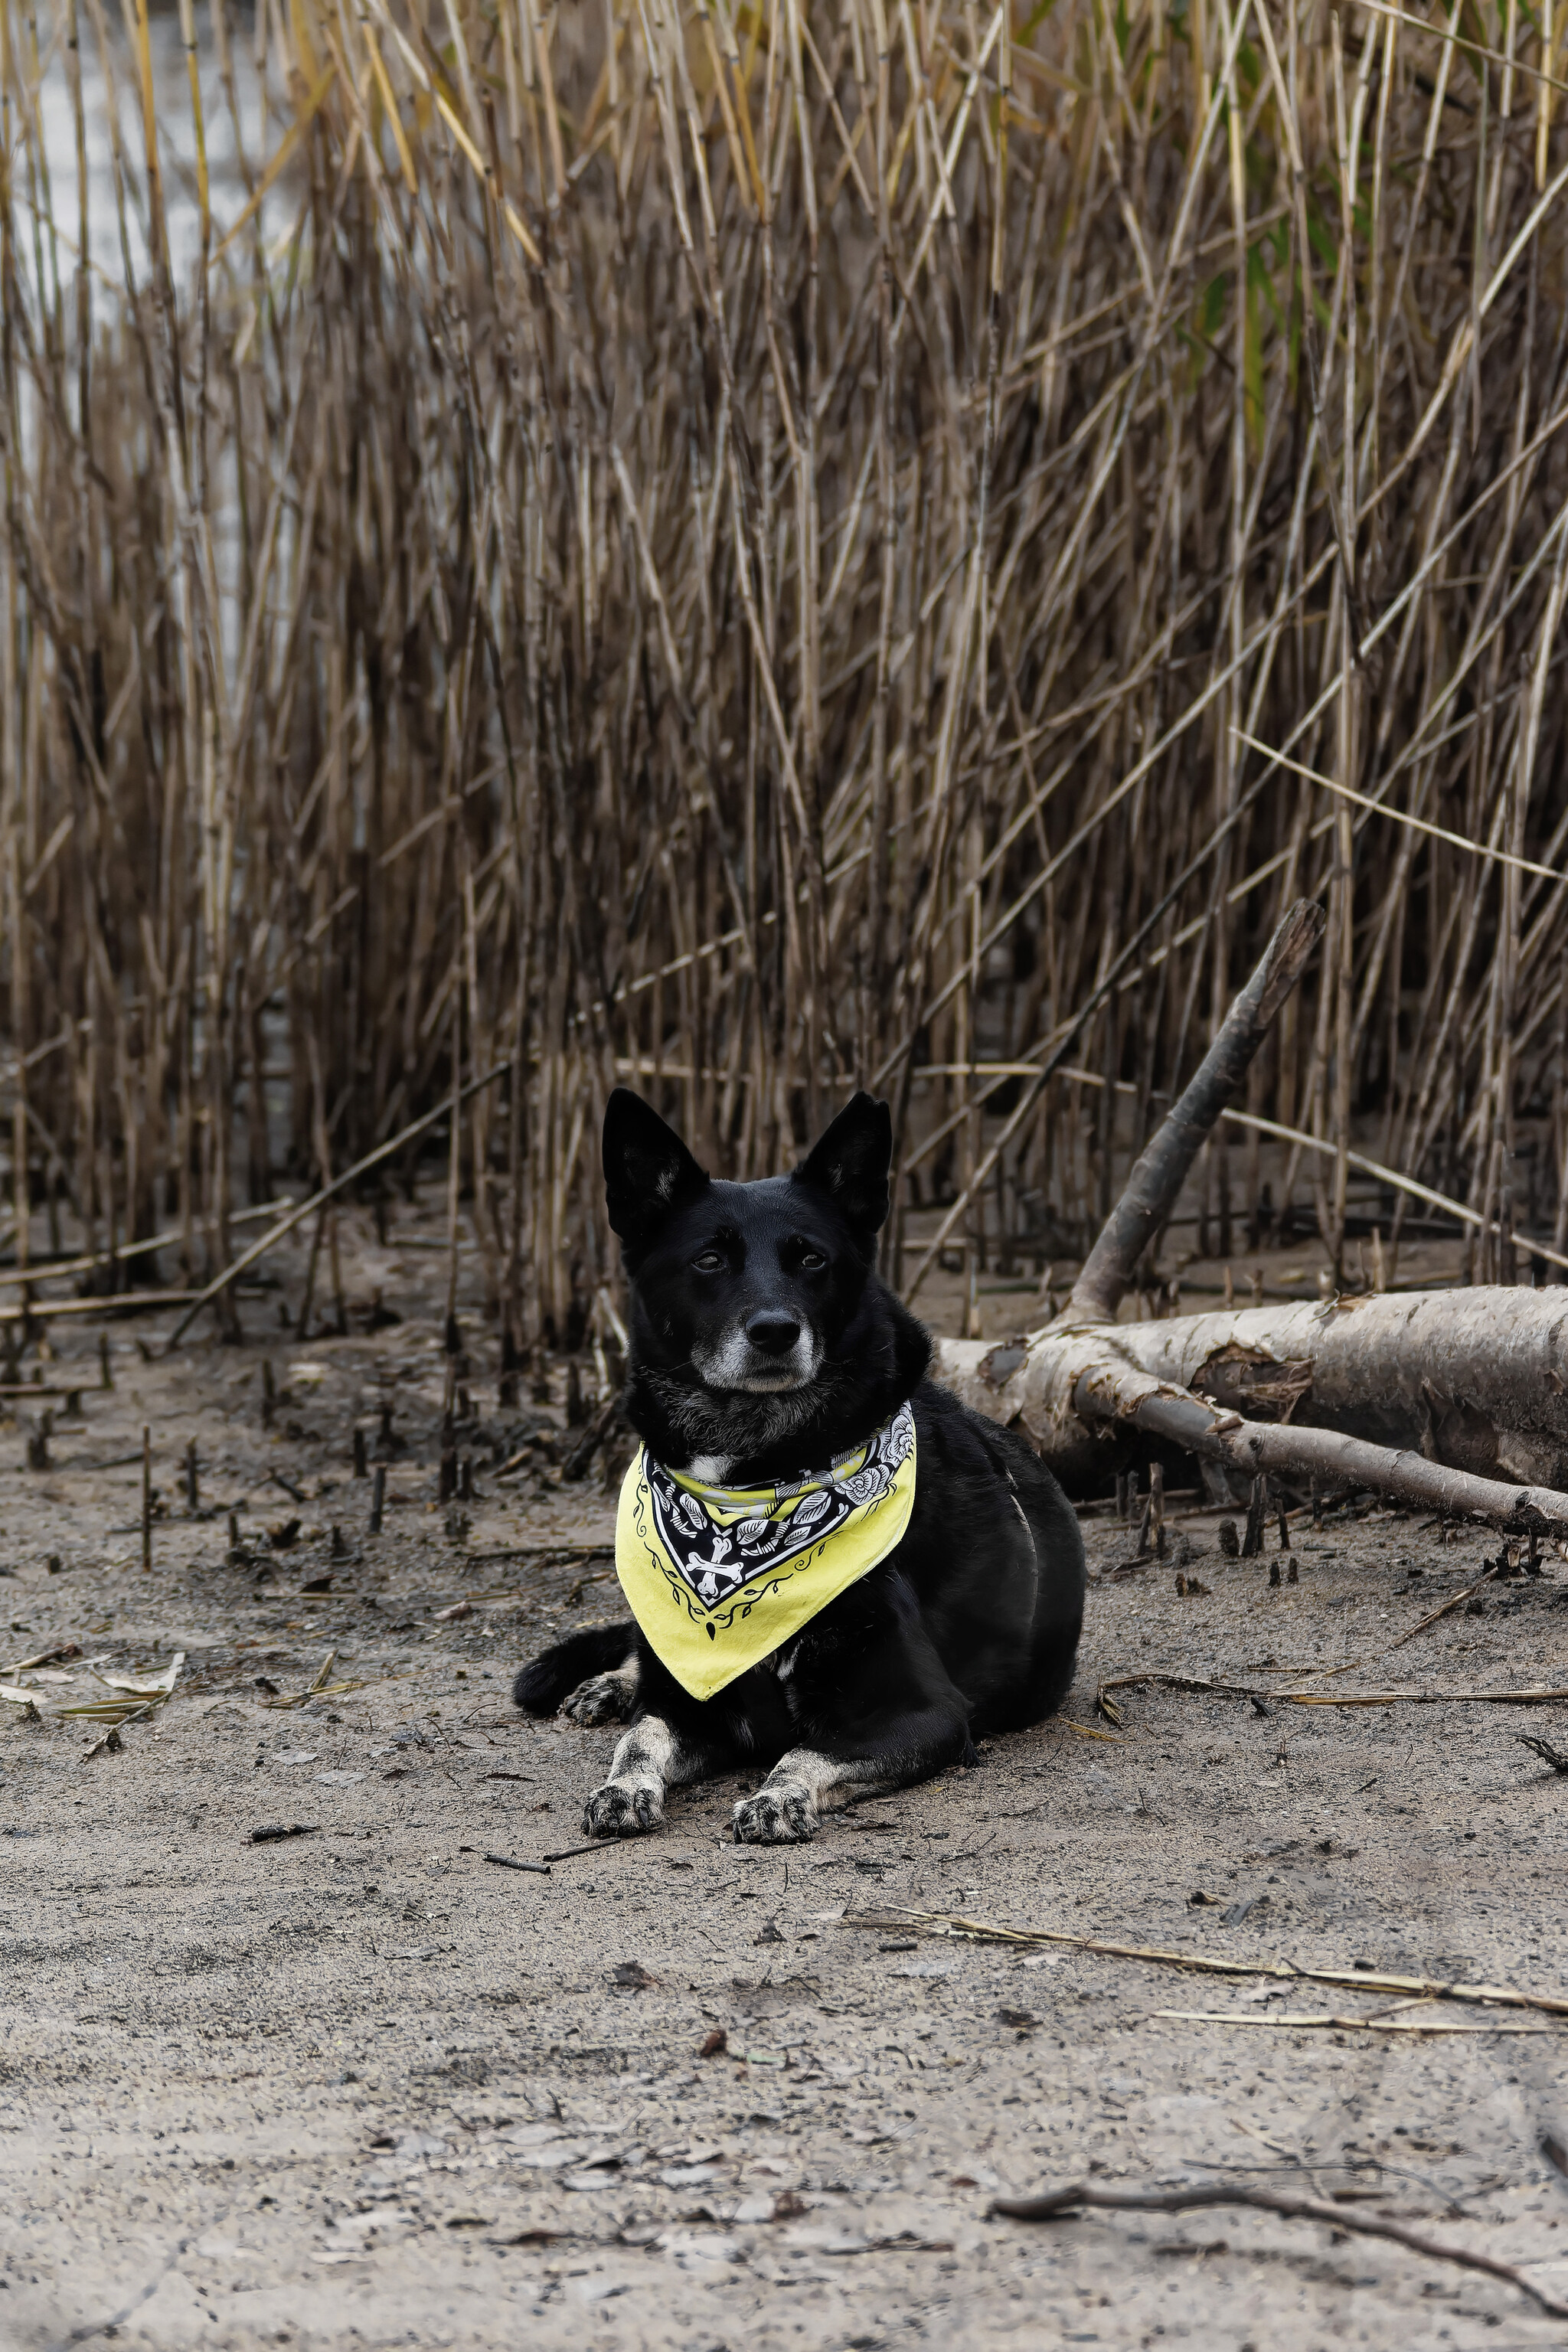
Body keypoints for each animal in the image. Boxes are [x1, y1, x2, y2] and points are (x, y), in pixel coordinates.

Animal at [510, 1082, 1086, 1834]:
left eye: (811, 1259)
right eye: (709, 1260)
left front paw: (776, 1799)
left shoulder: (922, 1712)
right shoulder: (689, 1697)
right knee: (639, 1657)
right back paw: (607, 1685)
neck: (755, 1467)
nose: (775, 1332)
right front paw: (624, 1787)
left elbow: (805, 1751)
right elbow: (641, 1738)